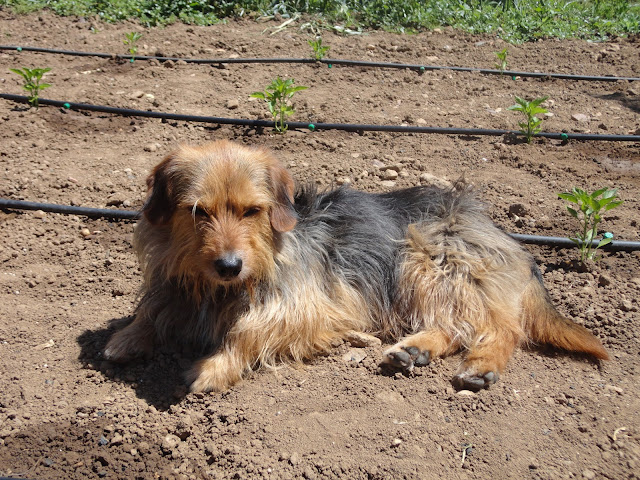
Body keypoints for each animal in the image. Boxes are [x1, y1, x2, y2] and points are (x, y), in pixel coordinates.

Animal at [102, 140, 608, 394]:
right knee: (452, 325)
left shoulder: (310, 309)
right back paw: (414, 350)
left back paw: (480, 365)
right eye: (197, 212)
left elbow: (248, 331)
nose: (229, 265)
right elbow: (153, 311)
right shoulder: (175, 286)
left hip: (425, 256)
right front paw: (128, 337)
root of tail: (496, 229)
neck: (218, 290)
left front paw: (214, 367)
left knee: (498, 328)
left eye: (252, 211)